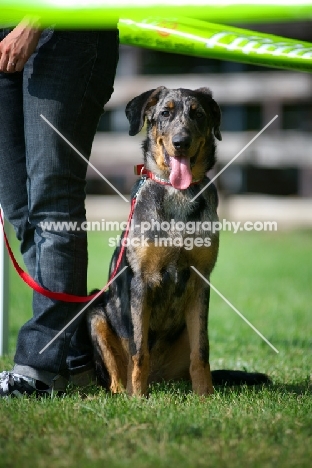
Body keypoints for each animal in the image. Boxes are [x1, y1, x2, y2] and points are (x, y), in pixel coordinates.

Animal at [86, 87, 270, 394]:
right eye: (165, 113)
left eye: (198, 114)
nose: (181, 142)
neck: (177, 194)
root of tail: (161, 380)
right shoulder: (141, 281)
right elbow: (139, 350)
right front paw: (138, 399)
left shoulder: (200, 280)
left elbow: (201, 351)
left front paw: (205, 396)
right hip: (95, 312)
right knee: (115, 378)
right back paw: (123, 393)